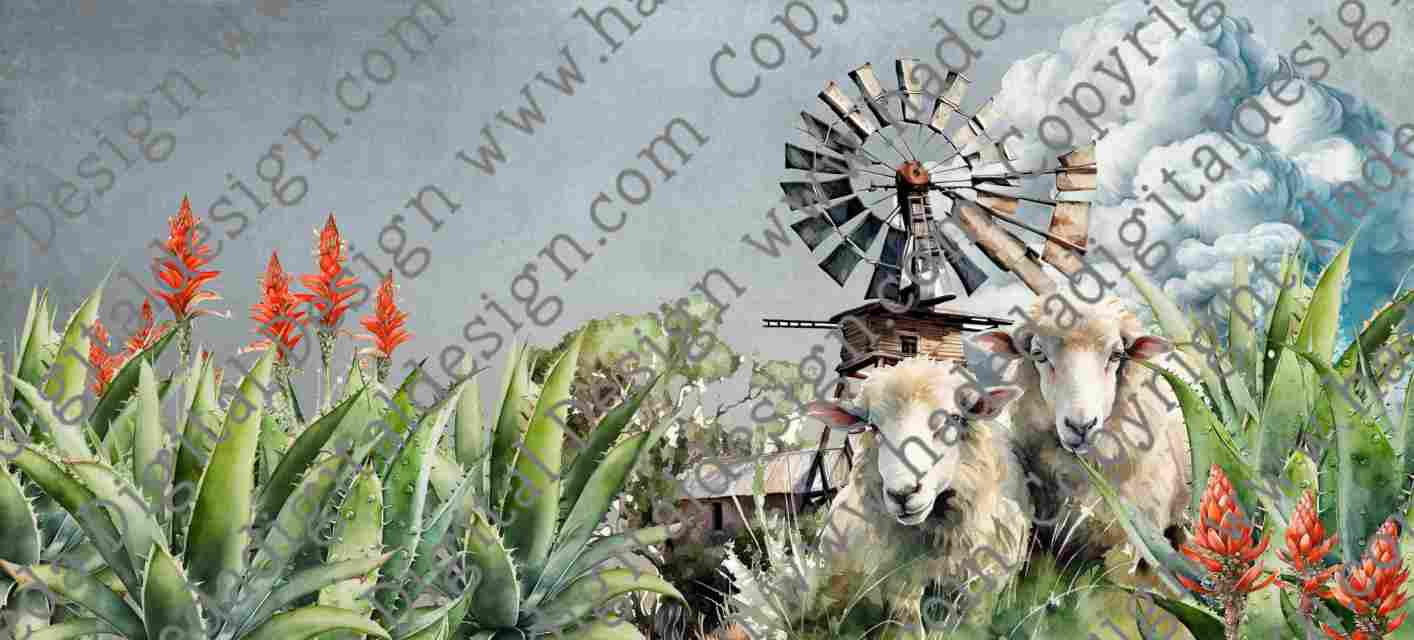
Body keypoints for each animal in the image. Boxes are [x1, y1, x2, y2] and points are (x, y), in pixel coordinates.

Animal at [806, 356, 1033, 635]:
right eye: (873, 426)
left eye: (953, 419)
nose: (902, 493)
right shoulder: (899, 582)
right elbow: (910, 627)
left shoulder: (983, 585)